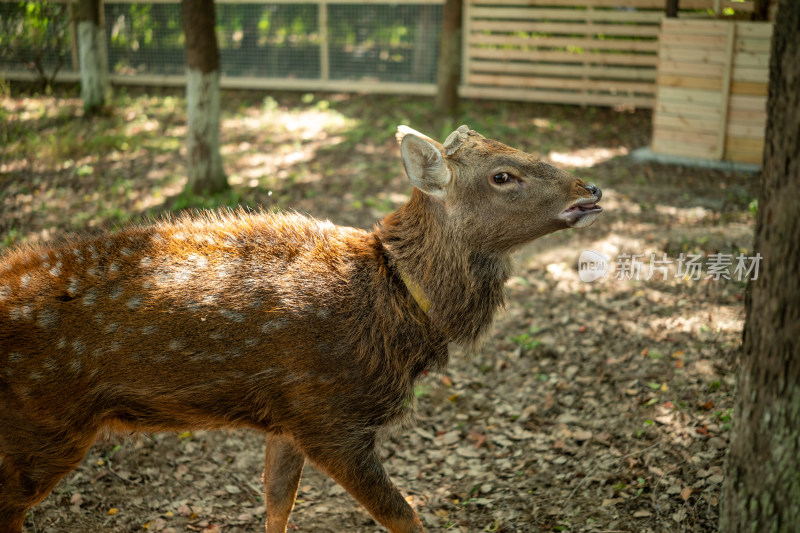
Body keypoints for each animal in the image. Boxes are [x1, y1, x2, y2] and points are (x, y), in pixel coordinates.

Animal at [0, 125, 600, 532]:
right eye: (503, 175)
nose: (591, 189)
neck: (397, 313)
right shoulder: (330, 415)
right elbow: (405, 518)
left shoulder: (287, 417)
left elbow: (277, 503)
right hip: (43, 423)